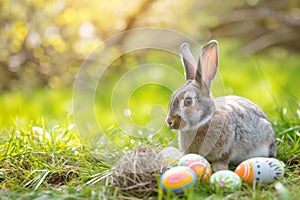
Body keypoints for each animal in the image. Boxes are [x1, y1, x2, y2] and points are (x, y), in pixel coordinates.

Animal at [166, 39, 276, 171]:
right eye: (171, 98)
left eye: (188, 101)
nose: (169, 122)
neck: (204, 122)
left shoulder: (228, 147)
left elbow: (223, 159)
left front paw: (219, 169)